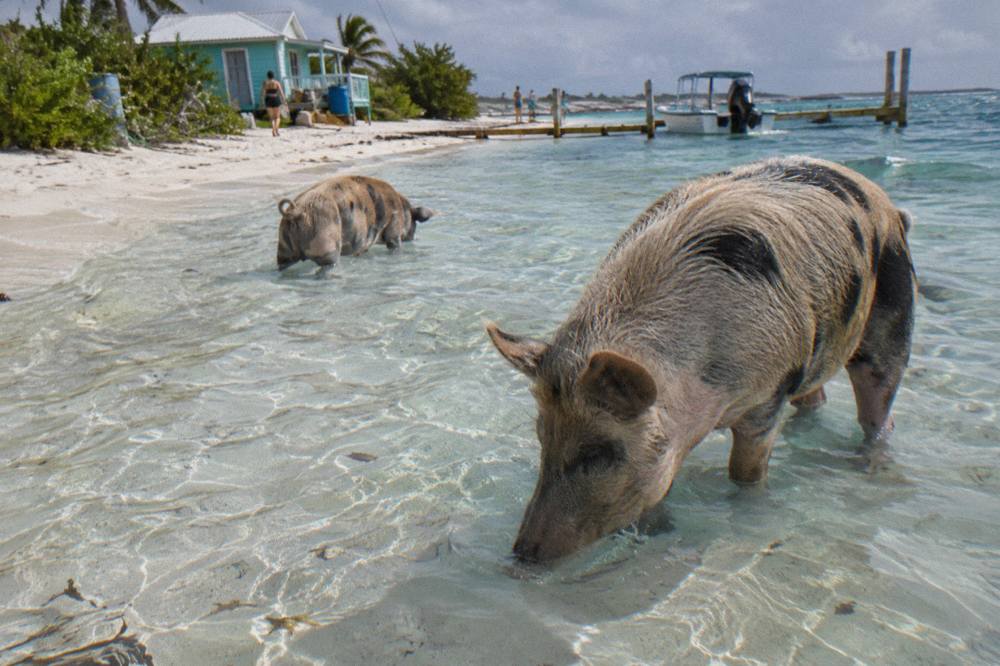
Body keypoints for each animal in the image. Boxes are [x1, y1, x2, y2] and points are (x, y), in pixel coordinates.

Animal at [276, 175, 434, 270]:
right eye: (414, 224)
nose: (411, 239)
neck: (402, 208)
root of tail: (296, 211)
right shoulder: (394, 227)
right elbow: (394, 245)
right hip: (325, 240)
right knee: (328, 264)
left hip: (284, 246)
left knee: (283, 263)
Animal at [487, 155, 915, 562]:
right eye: (541, 436)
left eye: (597, 452)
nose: (522, 554)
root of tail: (889, 206)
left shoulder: (768, 395)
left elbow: (744, 472)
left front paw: (749, 507)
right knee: (816, 397)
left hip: (893, 311)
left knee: (879, 408)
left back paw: (868, 468)